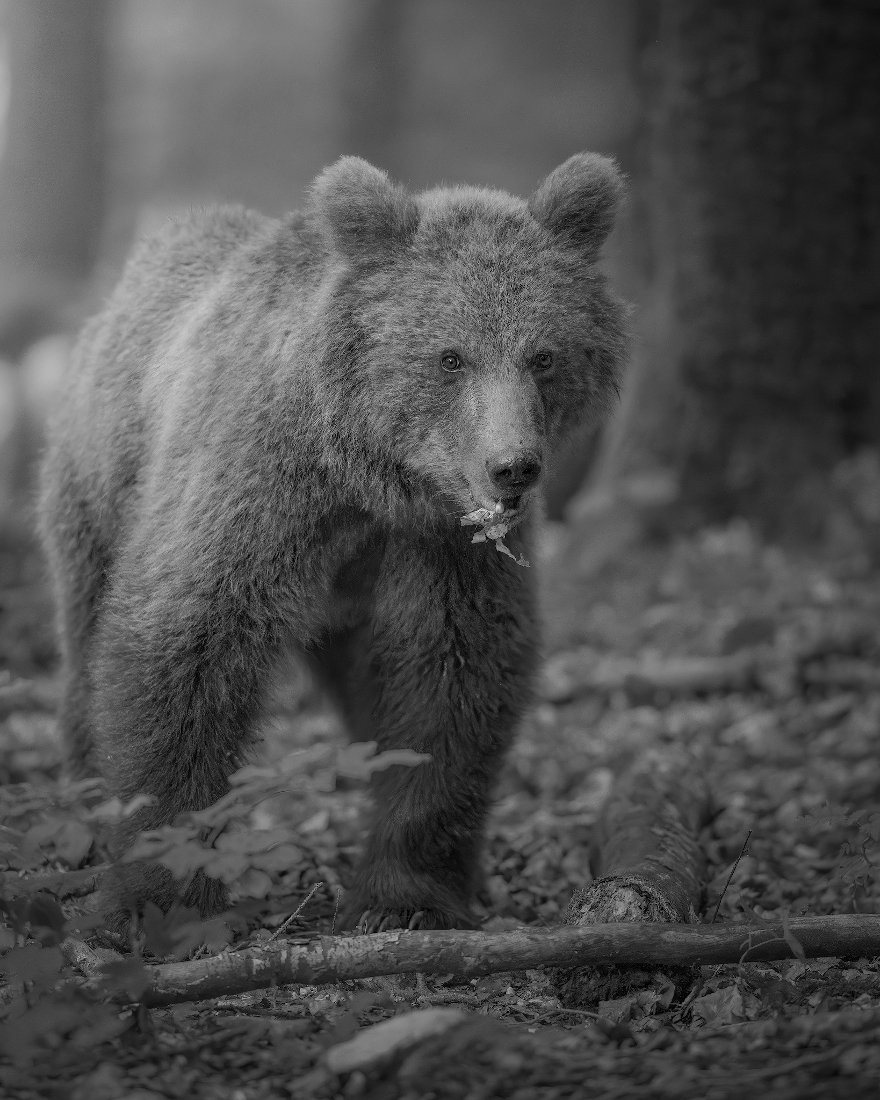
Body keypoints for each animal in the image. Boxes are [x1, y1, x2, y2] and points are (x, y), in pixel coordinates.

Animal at [39, 154, 627, 932]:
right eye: (450, 356)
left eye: (544, 355)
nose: (512, 466)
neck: (369, 477)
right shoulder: (260, 488)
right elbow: (187, 640)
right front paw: (162, 895)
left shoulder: (440, 544)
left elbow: (454, 674)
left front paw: (406, 893)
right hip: (94, 488)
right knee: (84, 639)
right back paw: (82, 813)